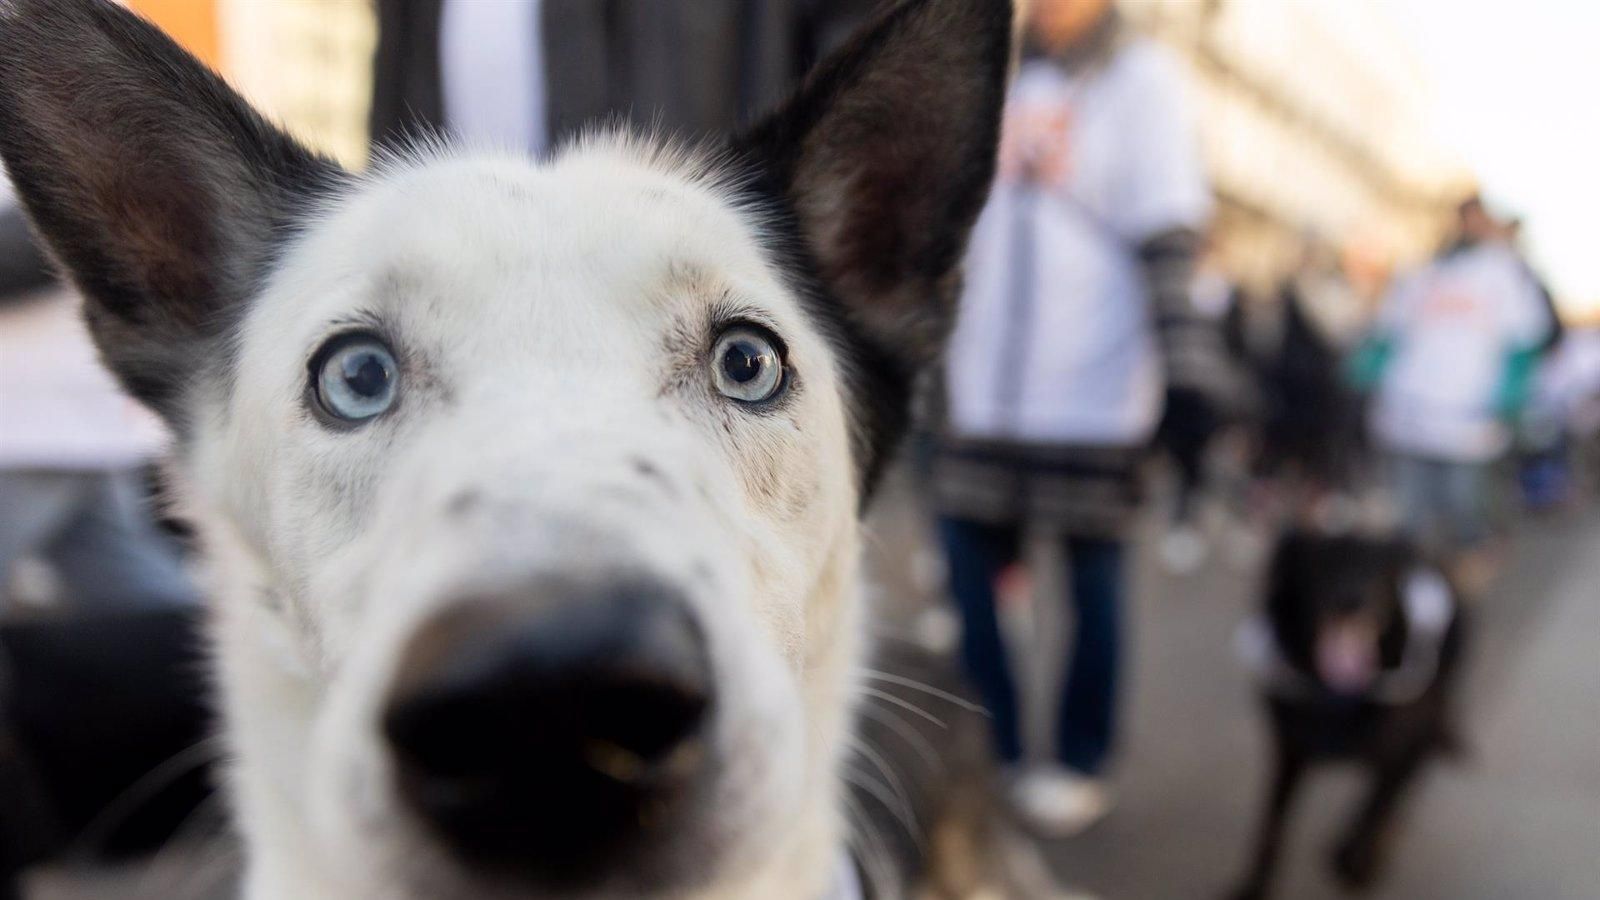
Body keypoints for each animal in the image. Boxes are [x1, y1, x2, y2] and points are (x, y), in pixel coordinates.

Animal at [1228, 528, 1465, 890]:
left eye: (1377, 569)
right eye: (1322, 564)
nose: (1351, 601)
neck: (1337, 696)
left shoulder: (1397, 749)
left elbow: (1376, 807)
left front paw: (1356, 863)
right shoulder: (1289, 750)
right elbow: (1273, 823)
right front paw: (1253, 885)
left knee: (1405, 782)